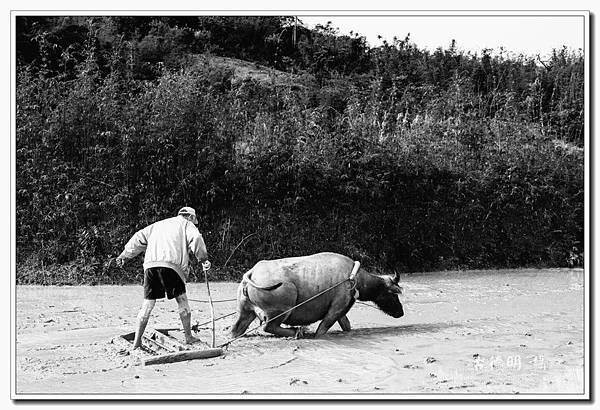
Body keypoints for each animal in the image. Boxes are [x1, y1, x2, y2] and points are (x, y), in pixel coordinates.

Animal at [230, 251, 404, 338]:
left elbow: (347, 326)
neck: (354, 278)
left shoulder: (341, 311)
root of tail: (251, 273)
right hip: (282, 310)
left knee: (236, 330)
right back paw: (297, 331)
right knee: (268, 326)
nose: (401, 312)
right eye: (393, 293)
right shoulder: (335, 310)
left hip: (246, 312)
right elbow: (322, 329)